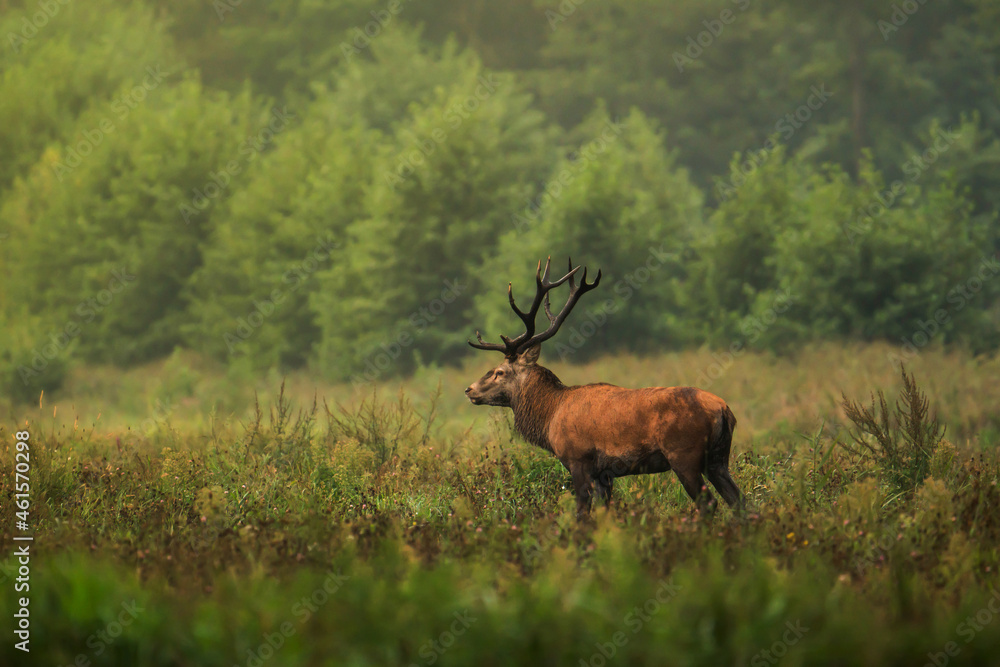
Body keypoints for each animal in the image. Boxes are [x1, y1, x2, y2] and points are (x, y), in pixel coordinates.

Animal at [465, 258, 746, 517]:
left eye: (499, 372)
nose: (469, 389)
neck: (550, 415)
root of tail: (723, 410)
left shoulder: (578, 459)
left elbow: (582, 513)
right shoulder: (604, 473)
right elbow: (604, 513)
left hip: (684, 455)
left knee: (709, 503)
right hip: (718, 459)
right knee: (738, 500)